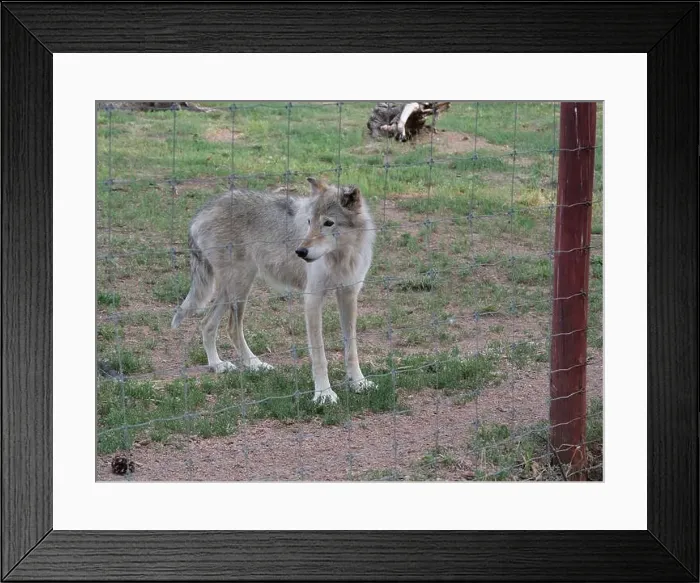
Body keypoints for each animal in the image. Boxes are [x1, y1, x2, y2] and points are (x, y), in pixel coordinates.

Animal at [171, 177, 377, 404]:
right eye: (309, 222)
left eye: (328, 223)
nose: (300, 251)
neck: (342, 256)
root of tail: (203, 210)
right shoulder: (312, 299)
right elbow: (319, 354)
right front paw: (324, 393)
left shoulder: (348, 295)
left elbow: (351, 348)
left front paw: (358, 382)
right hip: (239, 286)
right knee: (230, 327)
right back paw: (250, 364)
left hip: (233, 288)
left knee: (208, 324)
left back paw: (222, 365)